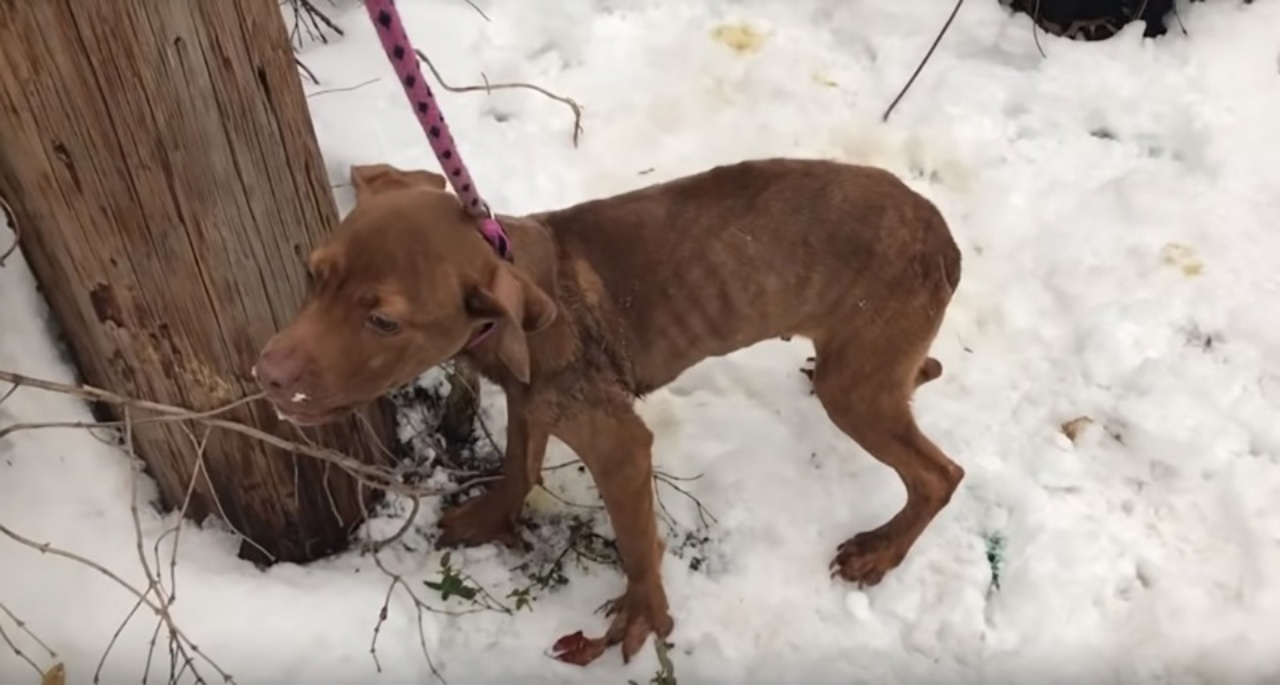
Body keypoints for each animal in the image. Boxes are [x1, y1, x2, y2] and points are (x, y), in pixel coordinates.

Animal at [254, 159, 962, 665]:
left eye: (383, 322)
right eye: (314, 276)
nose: (265, 376)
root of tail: (942, 233)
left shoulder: (619, 443)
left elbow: (637, 542)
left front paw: (643, 616)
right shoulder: (532, 403)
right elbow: (519, 466)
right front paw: (489, 517)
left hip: (857, 392)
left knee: (940, 476)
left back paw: (880, 552)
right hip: (868, 369)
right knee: (918, 388)